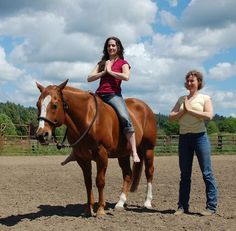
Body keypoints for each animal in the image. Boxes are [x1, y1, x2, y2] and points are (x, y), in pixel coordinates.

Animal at [35, 79, 157, 217]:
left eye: (55, 105)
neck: (87, 118)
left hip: (148, 149)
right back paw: (120, 203)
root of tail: (145, 107)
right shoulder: (82, 158)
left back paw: (147, 202)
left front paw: (100, 209)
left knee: (149, 172)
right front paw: (88, 209)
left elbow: (100, 181)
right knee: (127, 174)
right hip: (123, 154)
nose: (41, 135)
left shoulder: (101, 154)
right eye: (37, 105)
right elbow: (88, 182)